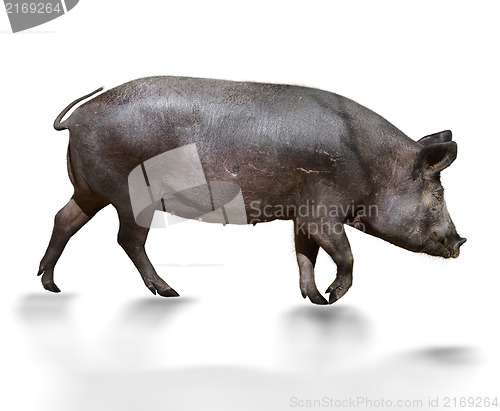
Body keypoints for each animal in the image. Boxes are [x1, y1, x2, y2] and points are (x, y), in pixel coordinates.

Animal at [38, 76, 466, 304]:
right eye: (438, 195)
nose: (461, 242)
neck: (373, 168)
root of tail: (78, 118)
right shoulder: (324, 209)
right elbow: (344, 252)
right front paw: (334, 296)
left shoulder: (302, 212)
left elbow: (305, 254)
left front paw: (314, 299)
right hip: (129, 195)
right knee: (126, 238)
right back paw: (170, 291)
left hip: (89, 190)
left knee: (64, 218)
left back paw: (50, 285)